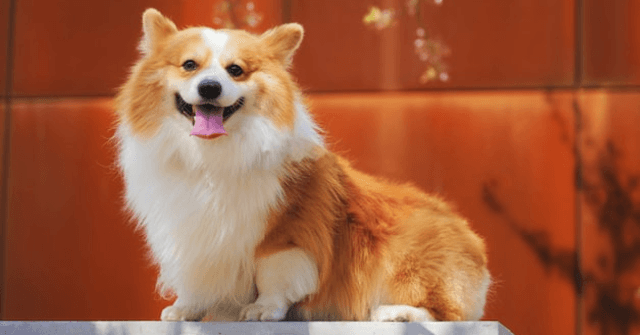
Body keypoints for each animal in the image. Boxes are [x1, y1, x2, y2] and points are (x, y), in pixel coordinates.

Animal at [115, 8, 490, 322]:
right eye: (189, 65)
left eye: (235, 70)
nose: (210, 87)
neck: (213, 155)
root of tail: (475, 246)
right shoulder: (188, 234)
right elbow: (194, 278)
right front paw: (184, 310)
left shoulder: (285, 232)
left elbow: (273, 275)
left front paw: (263, 310)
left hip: (407, 257)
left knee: (446, 313)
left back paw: (395, 313)